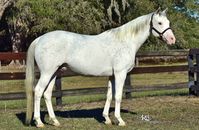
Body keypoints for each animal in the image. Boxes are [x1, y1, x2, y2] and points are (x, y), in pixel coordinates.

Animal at [24, 8, 176, 128]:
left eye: (168, 23)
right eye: (160, 23)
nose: (172, 39)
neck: (125, 41)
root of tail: (40, 39)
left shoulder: (112, 75)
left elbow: (109, 95)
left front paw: (107, 119)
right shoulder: (120, 74)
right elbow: (118, 96)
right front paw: (119, 120)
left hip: (54, 73)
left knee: (47, 94)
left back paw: (55, 121)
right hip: (47, 73)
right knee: (38, 91)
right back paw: (39, 122)